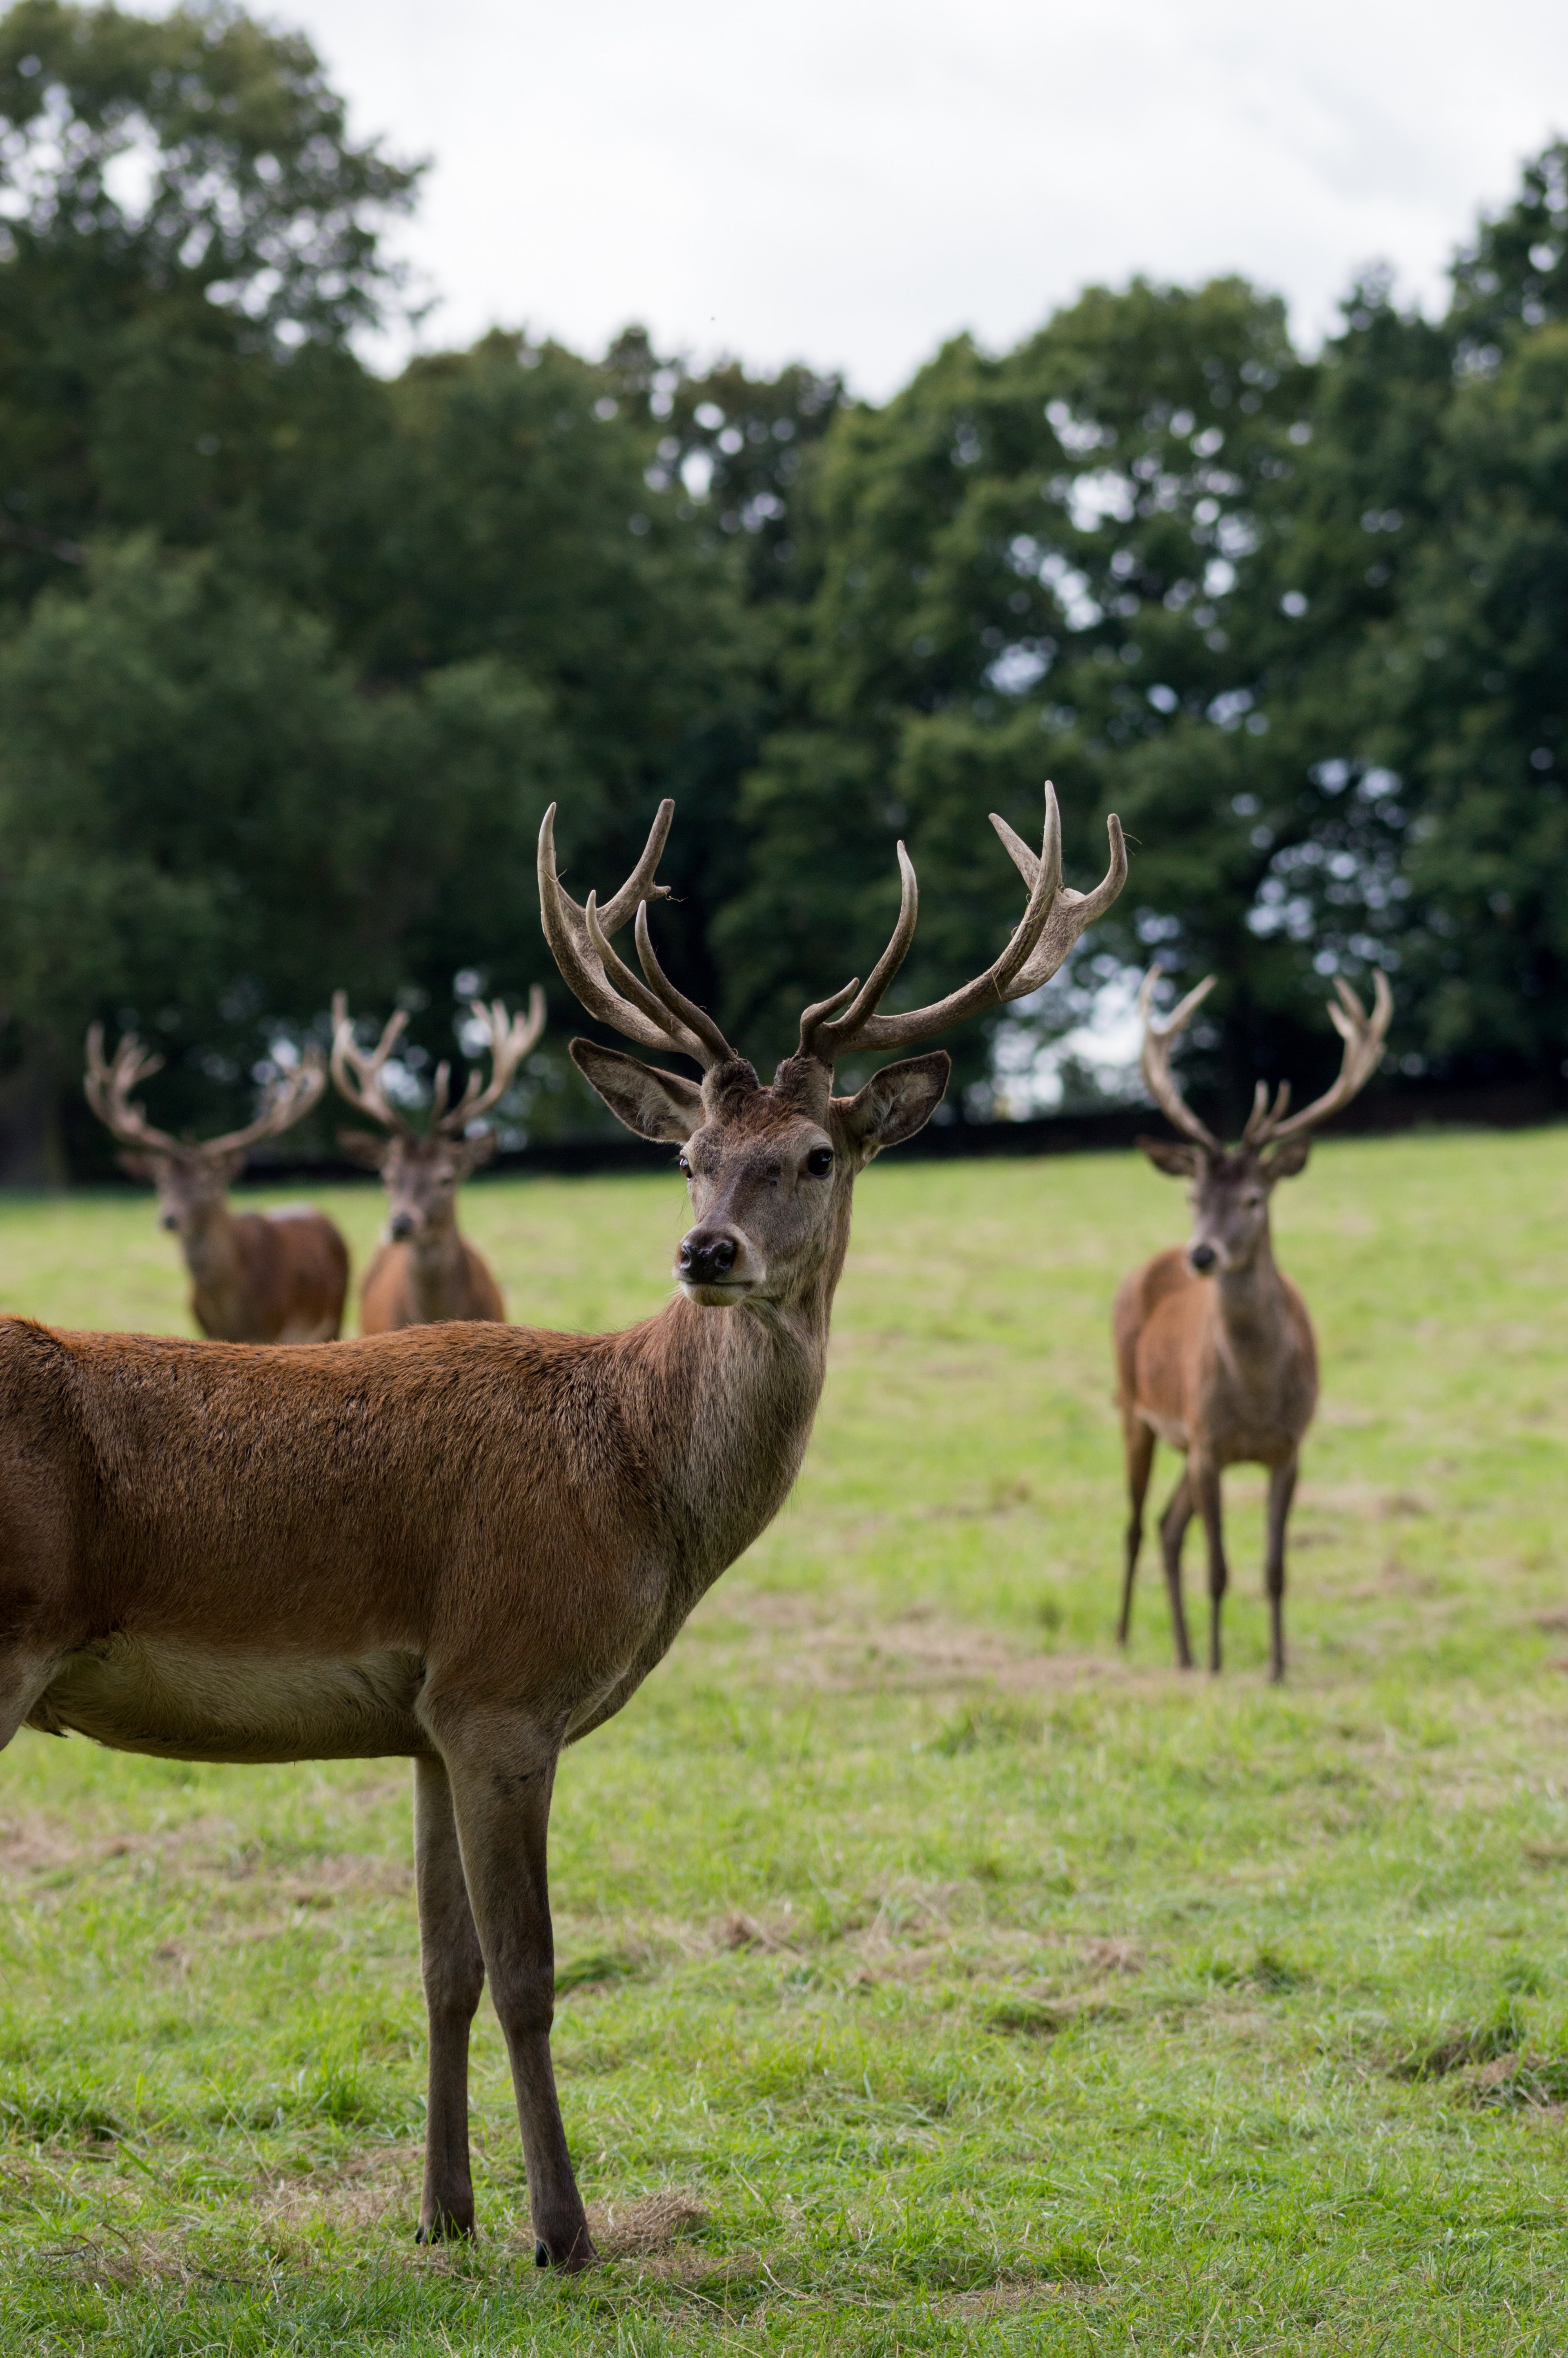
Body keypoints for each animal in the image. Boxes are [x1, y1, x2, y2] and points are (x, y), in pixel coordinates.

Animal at [84, 1028, 349, 1344]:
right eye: (162, 1182)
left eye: (208, 1182)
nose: (170, 1219)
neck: (230, 1309)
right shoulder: (207, 1329)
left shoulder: (271, 1329)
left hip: (335, 1314)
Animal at [1113, 965, 1393, 1682]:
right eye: (1193, 1195)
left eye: (1253, 1198)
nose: (1202, 1254)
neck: (1259, 1394)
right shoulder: (1209, 1443)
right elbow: (1218, 1567)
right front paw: (1219, 1668)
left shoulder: (1288, 1447)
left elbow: (1274, 1568)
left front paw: (1276, 1668)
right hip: (1133, 1407)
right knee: (1136, 1525)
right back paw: (1128, 1638)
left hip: (1182, 1443)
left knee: (1167, 1526)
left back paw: (1182, 1653)